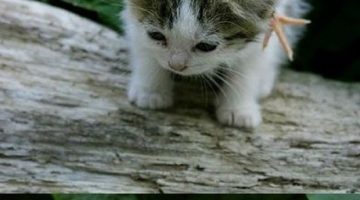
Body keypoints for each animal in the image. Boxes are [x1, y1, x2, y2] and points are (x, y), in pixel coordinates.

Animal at [122, 0, 308, 128]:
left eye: (206, 46)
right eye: (156, 35)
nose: (176, 66)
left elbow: (250, 64)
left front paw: (238, 109)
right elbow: (144, 48)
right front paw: (150, 92)